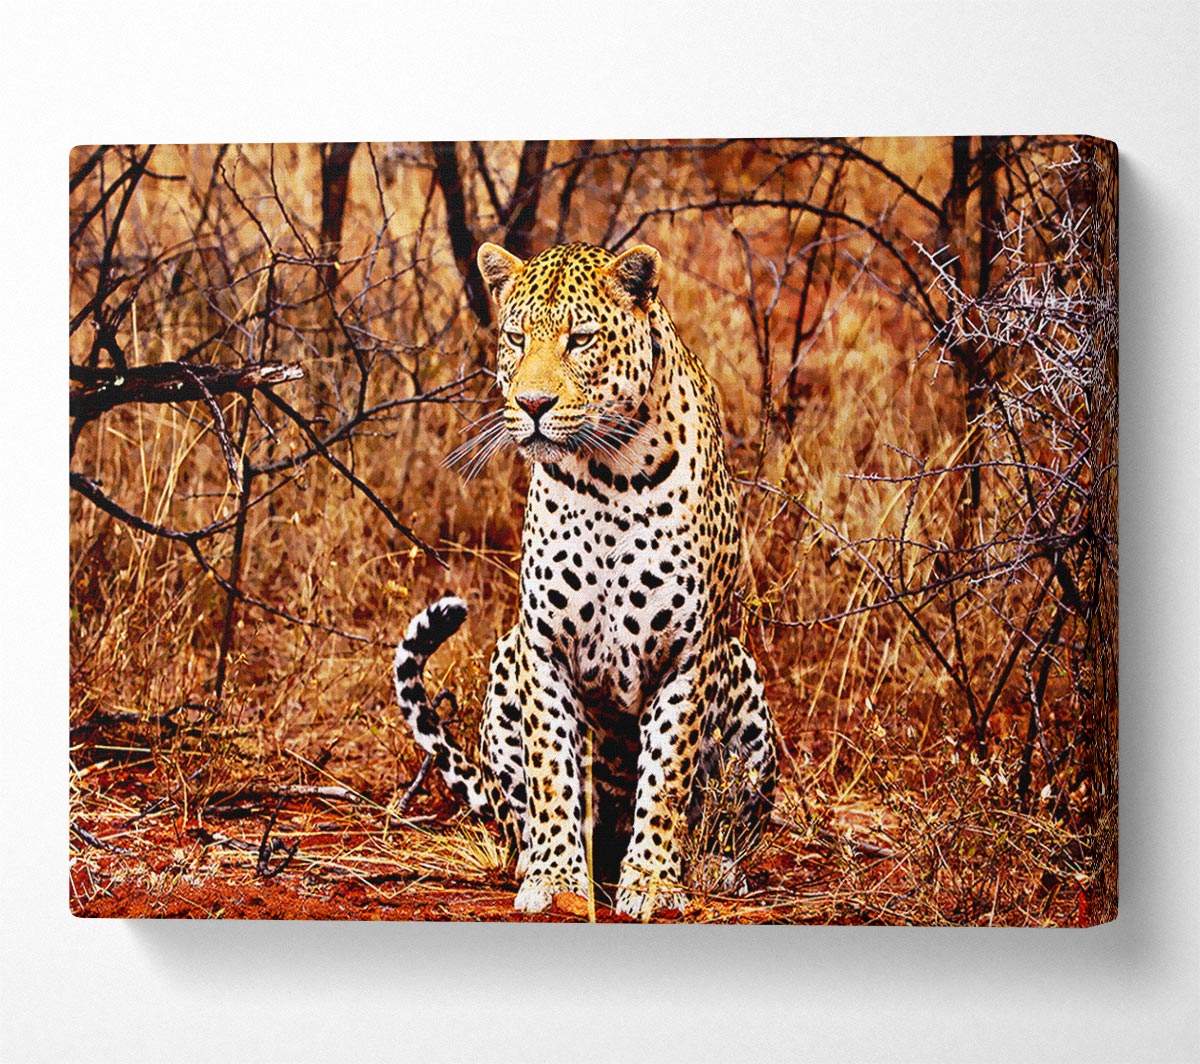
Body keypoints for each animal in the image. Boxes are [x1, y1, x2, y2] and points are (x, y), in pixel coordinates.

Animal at [393, 241, 777, 917]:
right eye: (515, 337)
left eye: (580, 339)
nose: (532, 405)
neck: (608, 475)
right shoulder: (545, 647)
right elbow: (552, 772)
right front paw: (557, 878)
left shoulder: (688, 652)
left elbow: (667, 777)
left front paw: (651, 882)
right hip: (506, 659)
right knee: (518, 809)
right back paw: (537, 858)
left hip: (746, 682)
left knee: (729, 817)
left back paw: (713, 865)